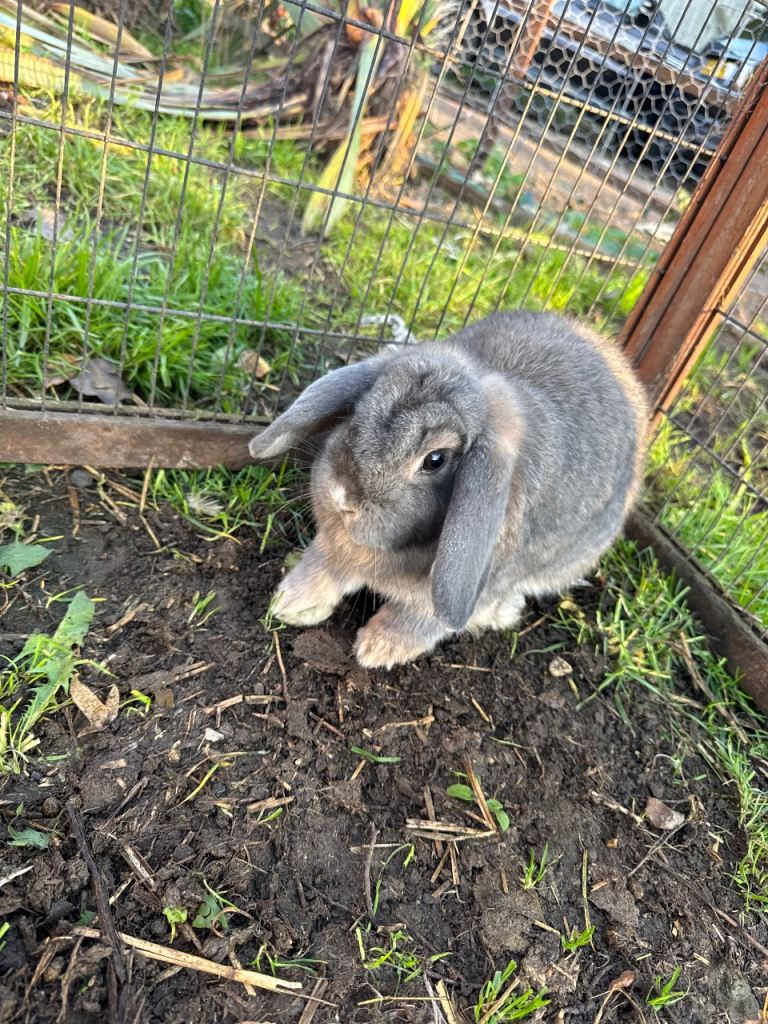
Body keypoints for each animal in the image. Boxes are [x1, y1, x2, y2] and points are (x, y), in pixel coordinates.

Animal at [248, 311, 648, 669]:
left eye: (435, 459)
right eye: (357, 415)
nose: (342, 499)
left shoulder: (451, 596)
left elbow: (420, 621)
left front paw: (377, 649)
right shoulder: (332, 549)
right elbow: (322, 569)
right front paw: (291, 603)